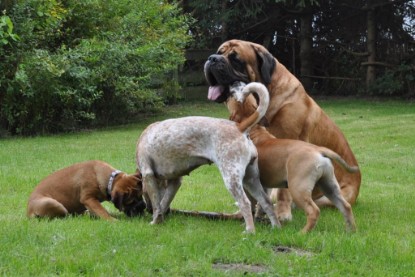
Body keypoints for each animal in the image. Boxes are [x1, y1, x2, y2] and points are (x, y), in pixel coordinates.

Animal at [136, 82, 280, 233]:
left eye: (142, 194)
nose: (146, 209)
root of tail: (240, 127)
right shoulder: (175, 181)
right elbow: (164, 202)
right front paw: (160, 219)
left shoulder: (148, 174)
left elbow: (157, 204)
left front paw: (155, 221)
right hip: (250, 179)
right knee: (266, 202)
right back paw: (276, 227)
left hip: (231, 178)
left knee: (245, 203)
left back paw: (250, 231)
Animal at [228, 81, 358, 231]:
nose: (234, 84)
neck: (255, 131)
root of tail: (318, 150)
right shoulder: (263, 186)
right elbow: (263, 203)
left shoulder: (247, 185)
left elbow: (252, 203)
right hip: (330, 187)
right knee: (345, 207)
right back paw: (350, 230)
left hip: (298, 189)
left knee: (314, 211)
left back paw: (304, 232)